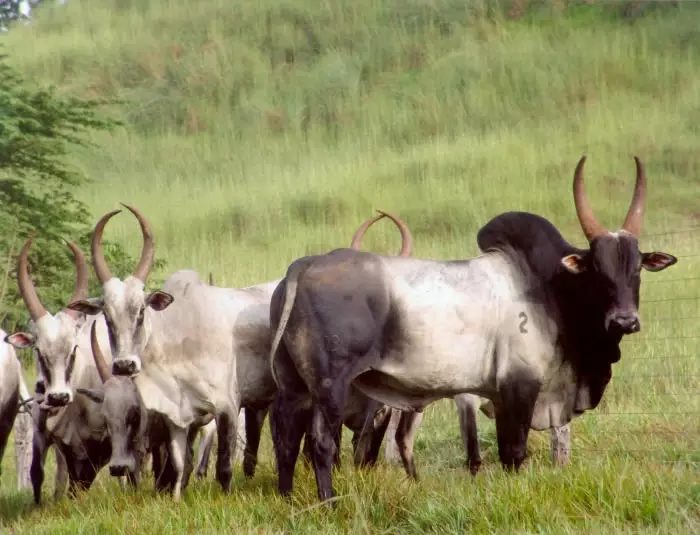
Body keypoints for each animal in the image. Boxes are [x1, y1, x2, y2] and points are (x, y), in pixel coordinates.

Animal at [270, 156, 680, 502]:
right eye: (597, 268)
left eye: (637, 268)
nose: (625, 320)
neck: (546, 286)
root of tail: (306, 264)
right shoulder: (519, 387)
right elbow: (513, 453)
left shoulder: (498, 396)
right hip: (330, 386)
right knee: (321, 443)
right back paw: (328, 502)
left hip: (295, 388)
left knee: (286, 438)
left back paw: (287, 498)